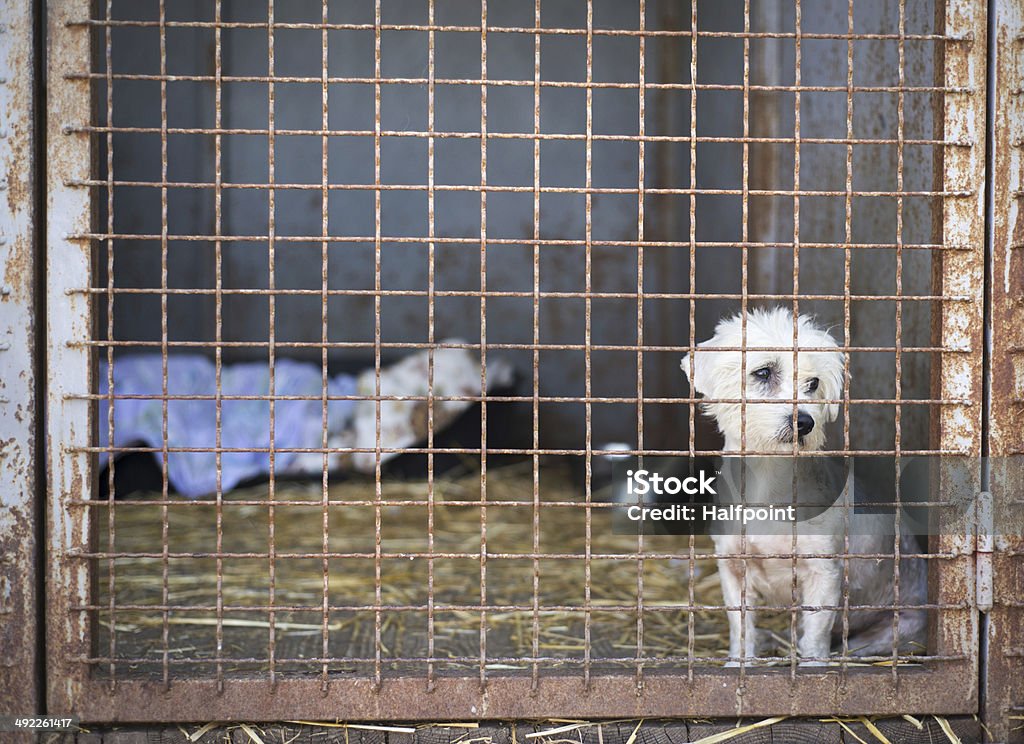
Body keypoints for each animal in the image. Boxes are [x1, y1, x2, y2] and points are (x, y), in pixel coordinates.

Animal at [684, 304, 925, 667]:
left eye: (813, 383)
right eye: (763, 373)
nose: (804, 422)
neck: (769, 483)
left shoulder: (823, 572)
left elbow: (815, 633)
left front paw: (813, 668)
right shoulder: (732, 566)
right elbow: (741, 627)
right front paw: (738, 663)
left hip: (895, 628)